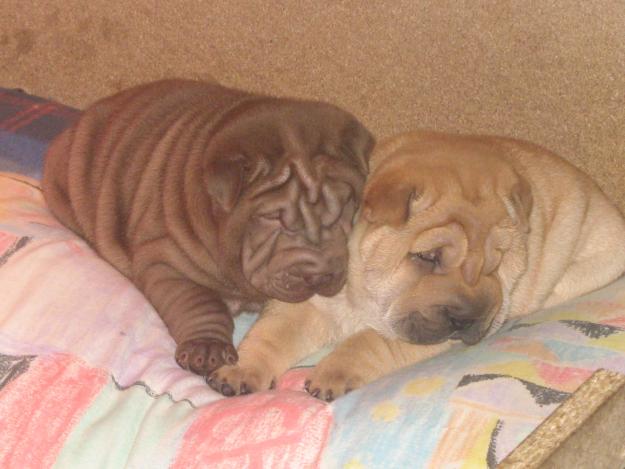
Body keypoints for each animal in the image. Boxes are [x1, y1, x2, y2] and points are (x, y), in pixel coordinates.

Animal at [44, 78, 376, 374]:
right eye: (274, 218)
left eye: (346, 203)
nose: (320, 274)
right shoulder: (167, 260)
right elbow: (199, 303)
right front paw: (206, 350)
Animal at [210, 129, 624, 398]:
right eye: (427, 257)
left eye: (497, 261)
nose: (470, 318)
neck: (360, 293)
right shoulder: (310, 304)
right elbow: (273, 332)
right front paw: (240, 369)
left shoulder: (413, 330)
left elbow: (369, 341)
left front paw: (333, 373)